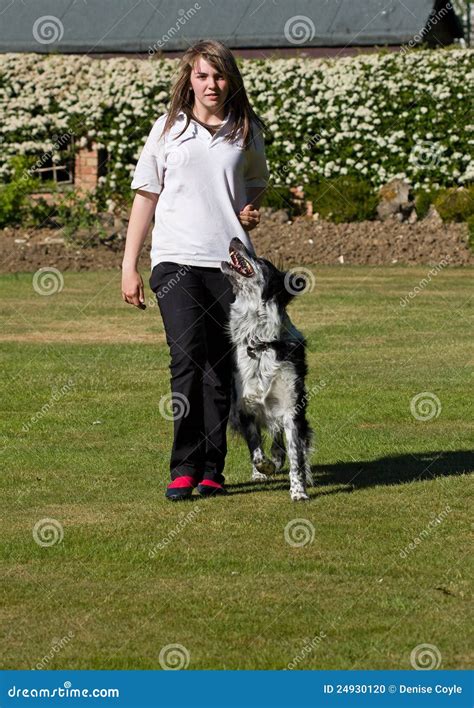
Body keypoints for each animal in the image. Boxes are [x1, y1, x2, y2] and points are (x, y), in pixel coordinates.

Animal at [221, 235, 314, 500]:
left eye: (261, 261)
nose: (235, 238)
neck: (260, 343)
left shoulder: (292, 409)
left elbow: (296, 455)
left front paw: (298, 491)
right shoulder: (244, 408)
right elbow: (256, 450)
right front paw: (264, 468)